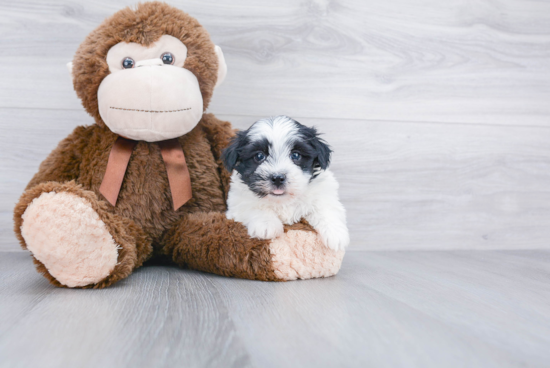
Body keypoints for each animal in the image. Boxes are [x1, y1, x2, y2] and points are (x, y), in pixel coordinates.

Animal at [223, 116, 350, 252]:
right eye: (259, 156)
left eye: (295, 155)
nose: (278, 178)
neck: (283, 200)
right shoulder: (237, 202)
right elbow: (252, 206)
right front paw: (266, 224)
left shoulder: (323, 193)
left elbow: (326, 208)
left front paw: (335, 233)